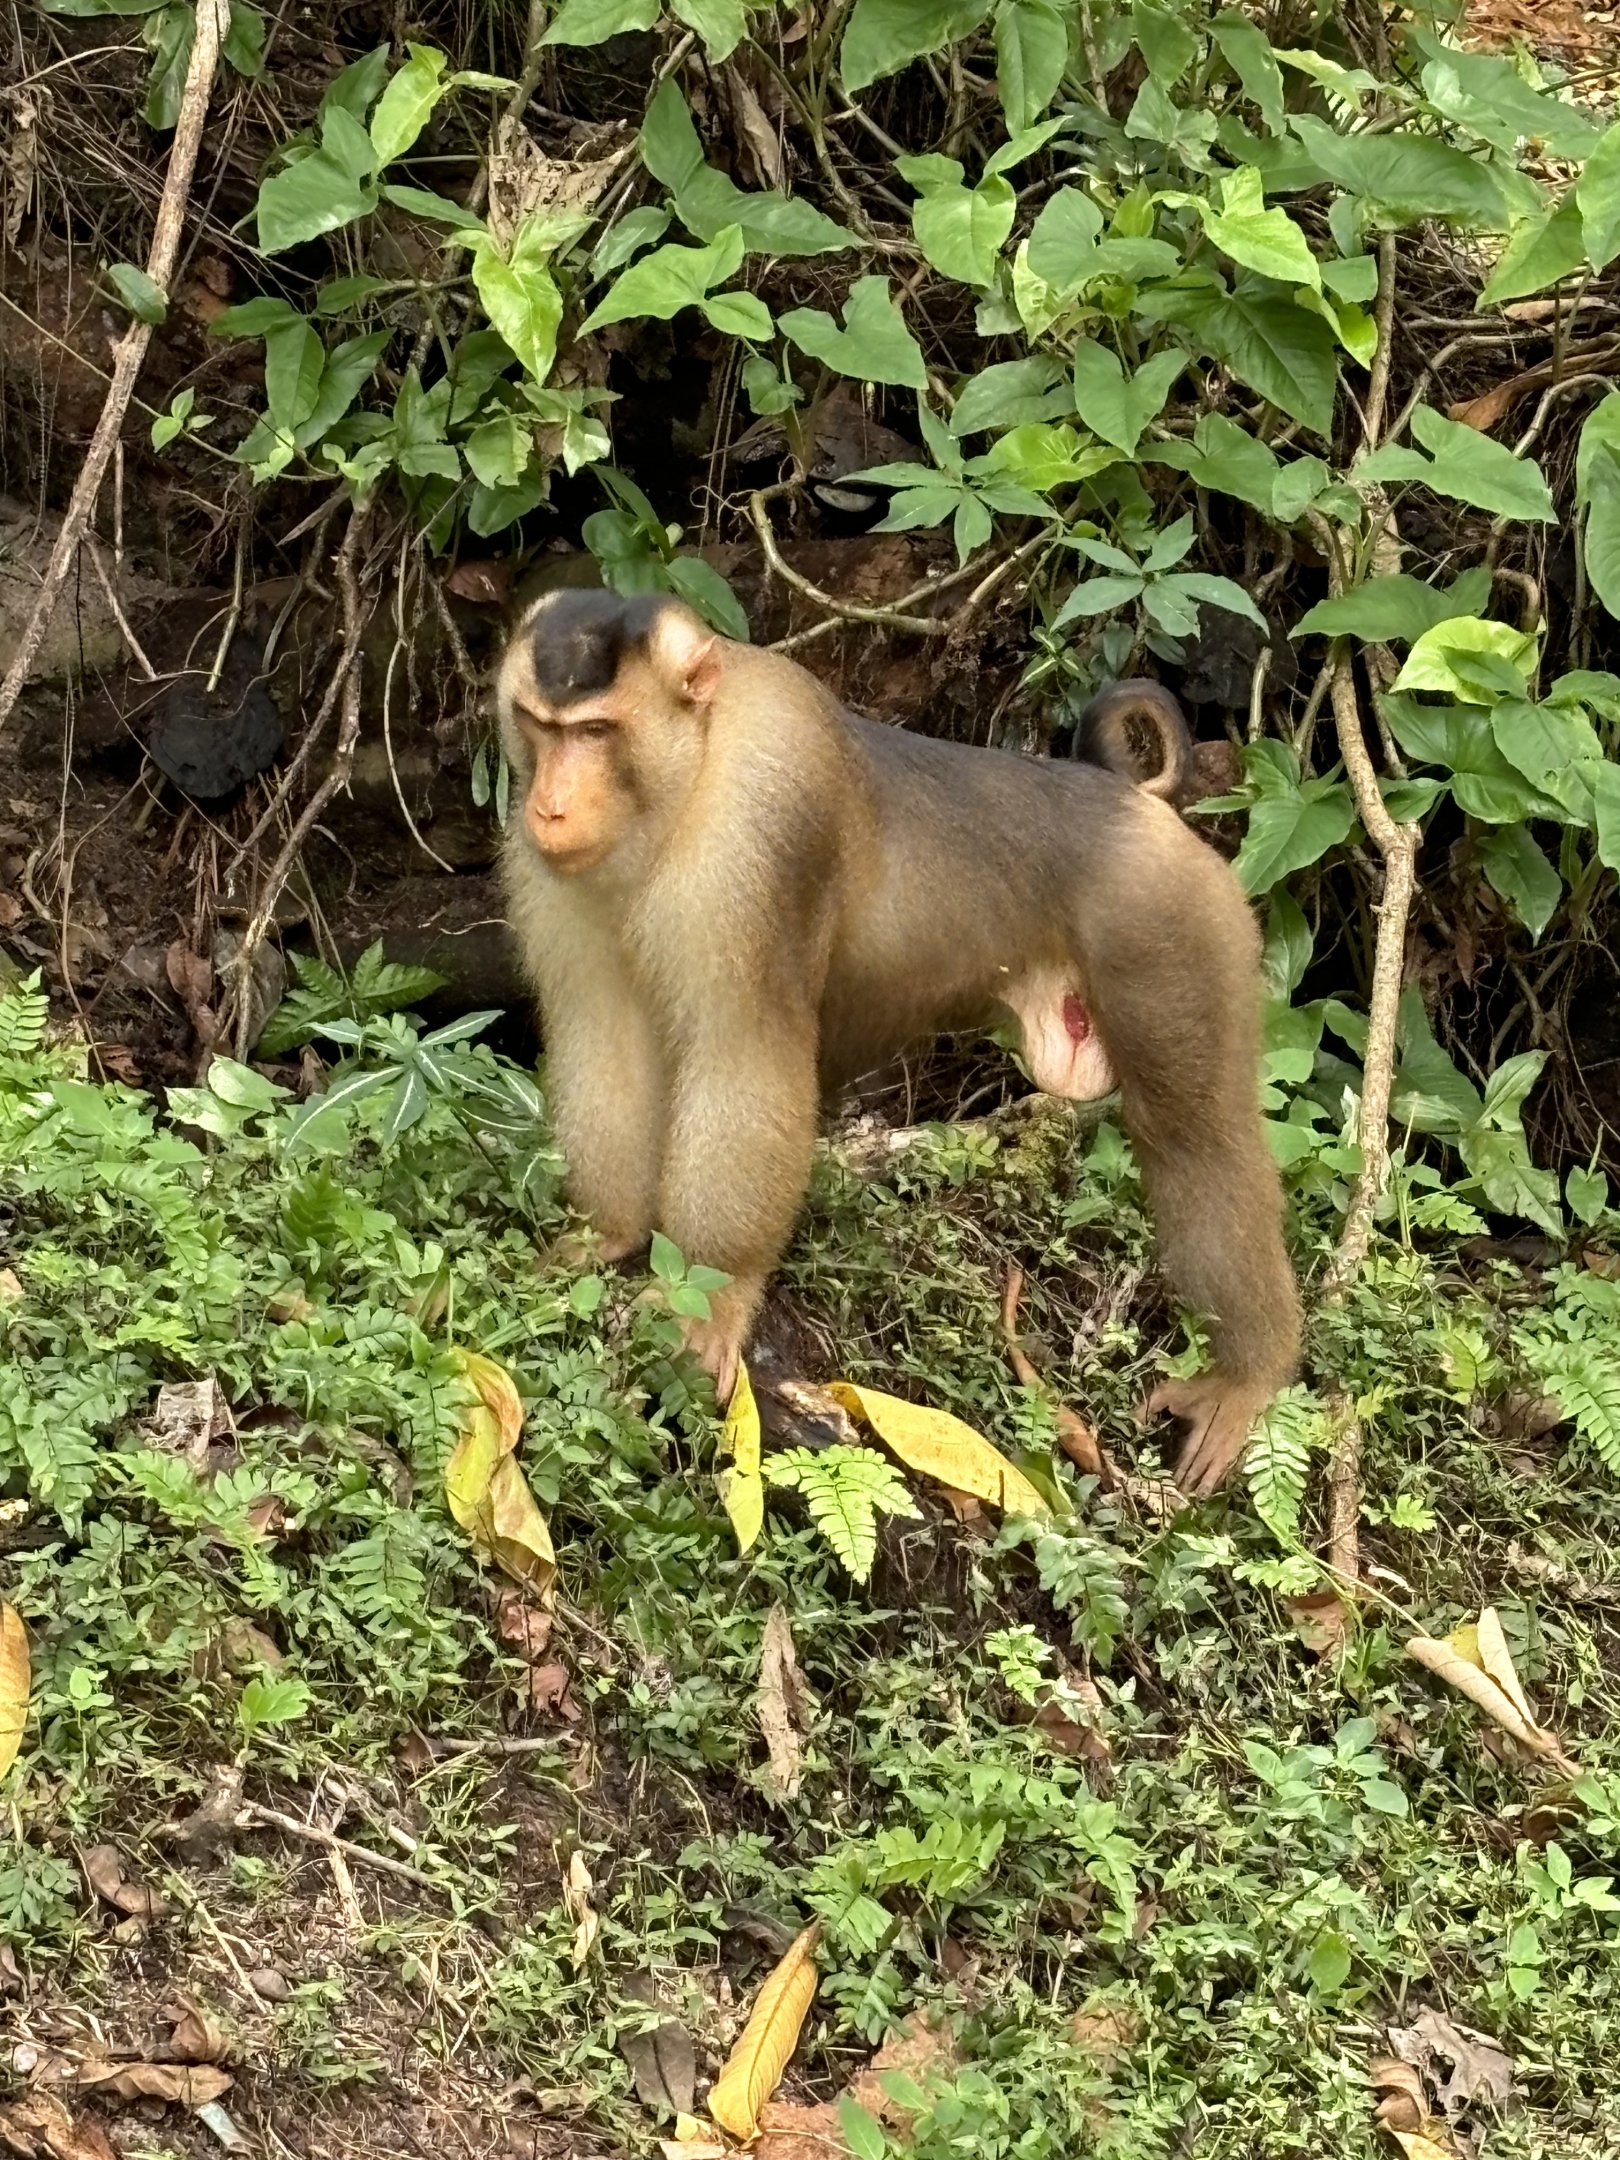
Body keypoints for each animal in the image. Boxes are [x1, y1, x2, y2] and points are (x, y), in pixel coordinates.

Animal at [497, 590, 1300, 1496]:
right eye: (537, 725)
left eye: (597, 731)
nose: (549, 807)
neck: (684, 779)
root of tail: (1136, 805)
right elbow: (604, 1035)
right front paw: (610, 1231)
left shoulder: (761, 830)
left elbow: (745, 1055)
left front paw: (717, 1289)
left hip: (1168, 919)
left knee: (1194, 1131)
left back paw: (1246, 1373)